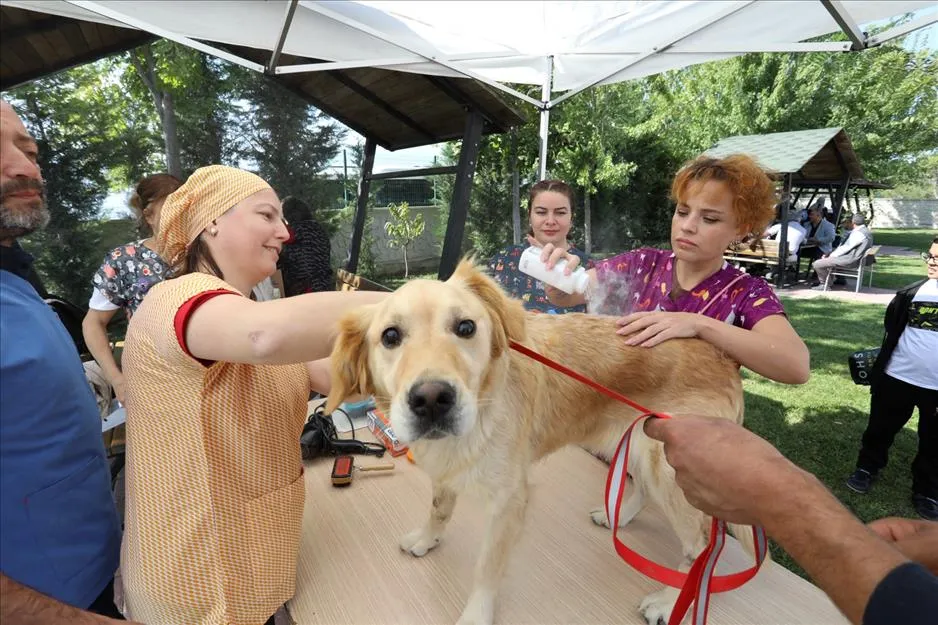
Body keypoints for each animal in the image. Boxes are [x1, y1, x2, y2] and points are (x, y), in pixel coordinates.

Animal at [326, 258, 748, 624]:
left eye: (466, 327)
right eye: (390, 336)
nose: (432, 400)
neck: (484, 409)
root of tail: (723, 358)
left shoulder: (509, 501)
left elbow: (487, 568)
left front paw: (476, 615)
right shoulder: (445, 472)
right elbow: (439, 509)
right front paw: (427, 538)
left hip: (668, 468)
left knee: (702, 547)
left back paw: (668, 600)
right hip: (633, 444)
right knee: (643, 490)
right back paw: (618, 516)